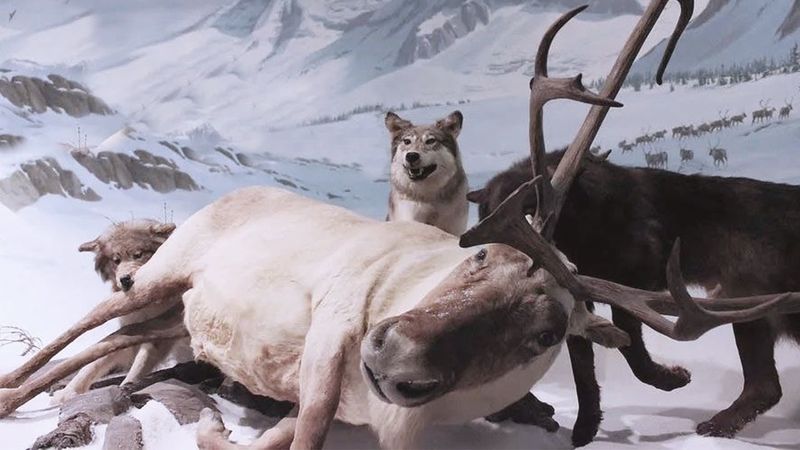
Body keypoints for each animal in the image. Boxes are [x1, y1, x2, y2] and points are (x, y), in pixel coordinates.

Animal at [51, 219, 185, 403]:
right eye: (116, 260)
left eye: (138, 254)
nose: (125, 279)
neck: (145, 307)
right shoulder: (127, 332)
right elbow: (94, 362)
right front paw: (68, 393)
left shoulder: (160, 334)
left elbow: (139, 364)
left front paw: (126, 388)